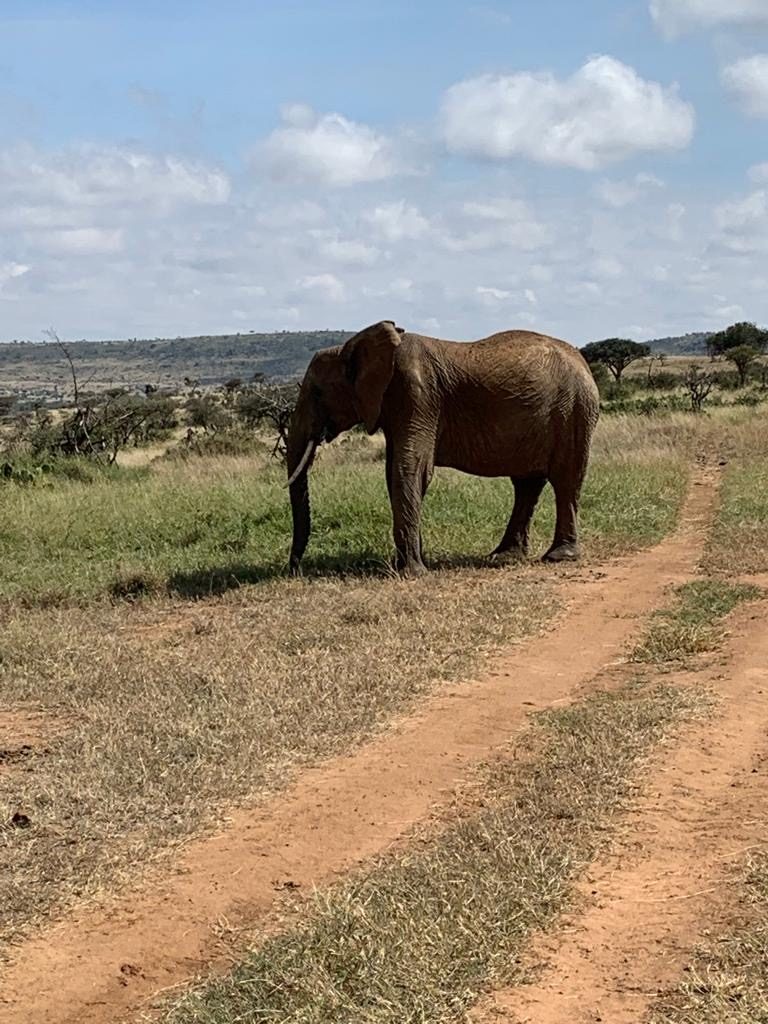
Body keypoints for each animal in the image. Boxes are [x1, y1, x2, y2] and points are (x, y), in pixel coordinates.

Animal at [286, 321, 602, 577]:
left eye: (317, 393)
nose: (293, 568)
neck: (354, 344)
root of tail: (584, 363)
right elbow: (394, 473)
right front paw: (408, 563)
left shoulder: (418, 396)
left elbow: (410, 469)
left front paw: (412, 572)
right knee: (527, 484)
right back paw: (503, 556)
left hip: (574, 411)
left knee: (565, 481)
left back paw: (559, 556)